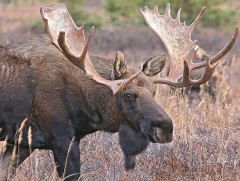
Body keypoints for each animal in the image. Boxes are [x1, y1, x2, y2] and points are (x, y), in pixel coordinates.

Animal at [0, 2, 238, 181]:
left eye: (154, 92)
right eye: (128, 94)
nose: (166, 128)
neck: (87, 109)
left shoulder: (20, 143)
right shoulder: (61, 139)